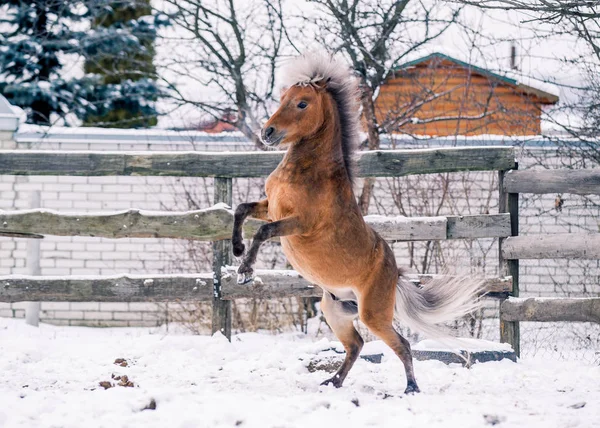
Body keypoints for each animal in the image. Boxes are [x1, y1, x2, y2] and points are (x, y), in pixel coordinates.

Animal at [231, 53, 482, 394]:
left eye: (302, 103)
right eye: (283, 99)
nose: (267, 133)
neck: (308, 171)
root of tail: (396, 274)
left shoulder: (300, 222)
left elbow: (263, 230)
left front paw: (245, 272)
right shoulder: (271, 207)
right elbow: (241, 210)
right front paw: (236, 250)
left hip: (373, 313)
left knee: (400, 344)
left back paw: (411, 388)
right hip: (335, 310)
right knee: (356, 345)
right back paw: (332, 382)